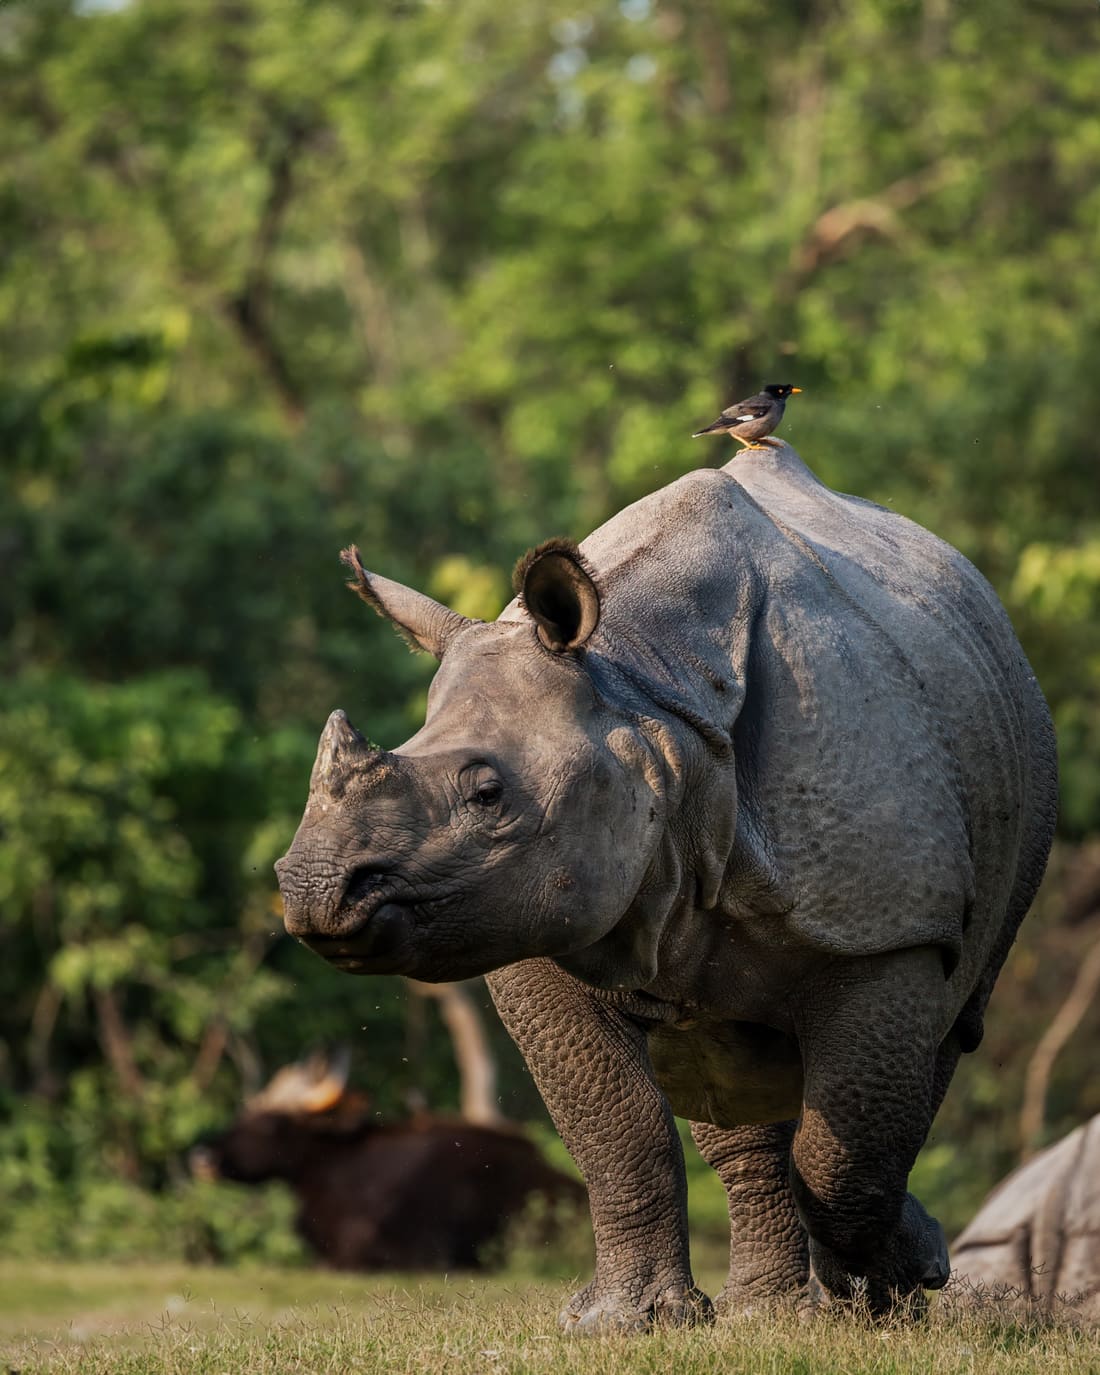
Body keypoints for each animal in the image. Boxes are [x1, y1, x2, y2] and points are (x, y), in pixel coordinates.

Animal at [276, 445, 1057, 1328]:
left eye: (488, 793)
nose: (315, 887)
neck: (644, 701)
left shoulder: (891, 926)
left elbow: (846, 1143)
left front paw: (886, 1299)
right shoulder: (533, 919)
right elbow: (617, 1122)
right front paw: (625, 1321)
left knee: (944, 1030)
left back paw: (850, 1292)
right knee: (731, 1065)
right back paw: (765, 1312)